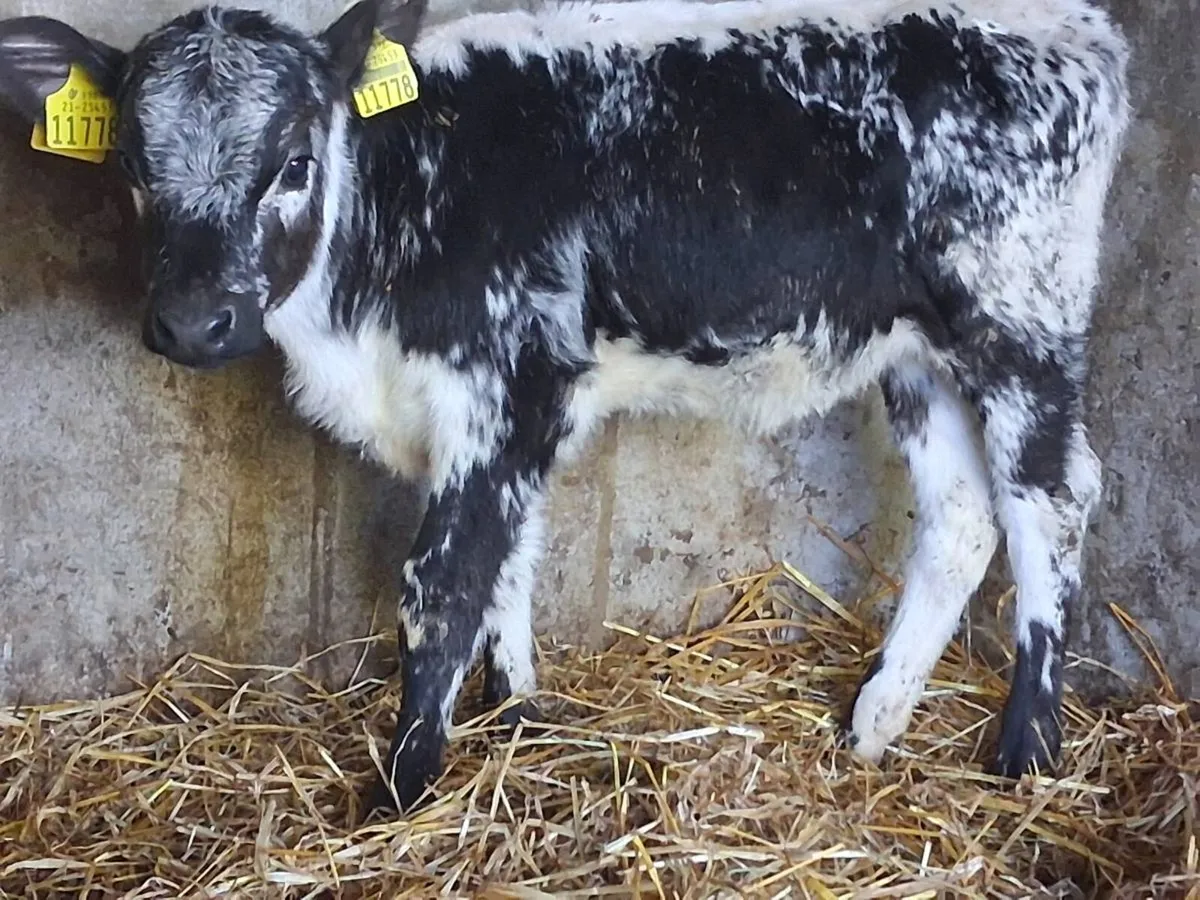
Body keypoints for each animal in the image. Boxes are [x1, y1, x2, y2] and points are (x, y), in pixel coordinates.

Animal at [0, 0, 1130, 814]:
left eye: (292, 162)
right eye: (131, 165)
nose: (196, 324)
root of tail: (1077, 27)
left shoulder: (506, 387)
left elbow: (445, 579)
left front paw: (401, 789)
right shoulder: (506, 409)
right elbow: (509, 560)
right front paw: (516, 720)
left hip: (1019, 321)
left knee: (1052, 500)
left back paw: (1025, 751)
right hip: (914, 348)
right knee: (962, 515)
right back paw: (876, 722)